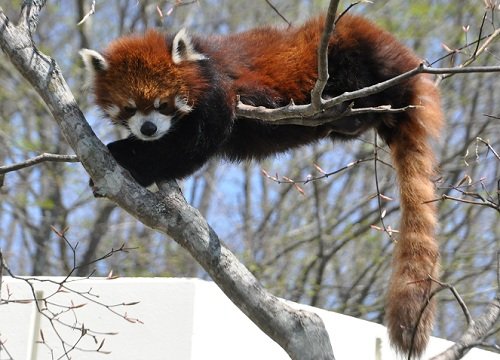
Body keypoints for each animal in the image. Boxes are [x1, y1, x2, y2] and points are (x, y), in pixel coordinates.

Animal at [80, 13, 444, 358]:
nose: (149, 128)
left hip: (351, 45)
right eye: (130, 108)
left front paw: (128, 159)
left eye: (163, 104)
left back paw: (344, 100)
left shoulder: (220, 90)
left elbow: (193, 144)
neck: (203, 60)